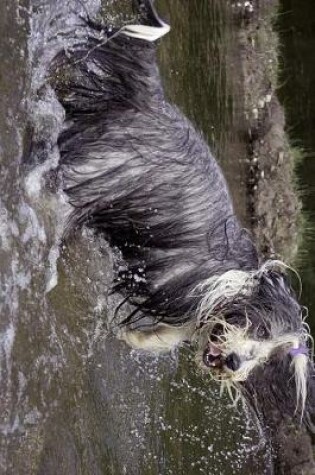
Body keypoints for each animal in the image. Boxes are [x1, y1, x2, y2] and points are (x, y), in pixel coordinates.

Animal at [53, 0, 314, 428]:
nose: (234, 362)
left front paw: (126, 336)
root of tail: (153, 98)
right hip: (93, 175)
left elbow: (161, 338)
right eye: (260, 330)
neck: (227, 286)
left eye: (267, 358)